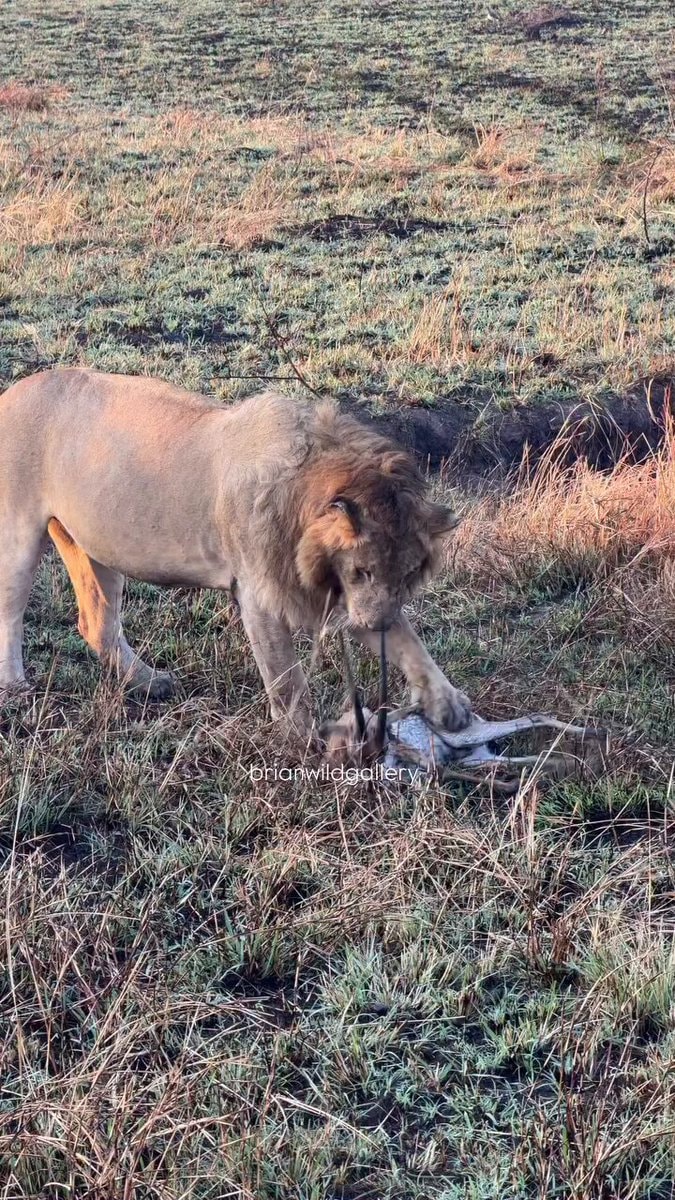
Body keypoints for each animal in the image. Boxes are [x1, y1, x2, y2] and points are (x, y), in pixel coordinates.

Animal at [0, 369, 471, 734]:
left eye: (407, 575)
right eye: (363, 571)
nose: (376, 624)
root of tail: (13, 391)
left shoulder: (341, 598)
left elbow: (409, 641)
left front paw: (448, 704)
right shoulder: (261, 595)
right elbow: (286, 679)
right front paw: (305, 744)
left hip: (96, 545)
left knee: (98, 624)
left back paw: (150, 683)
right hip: (17, 538)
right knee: (11, 615)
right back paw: (16, 691)